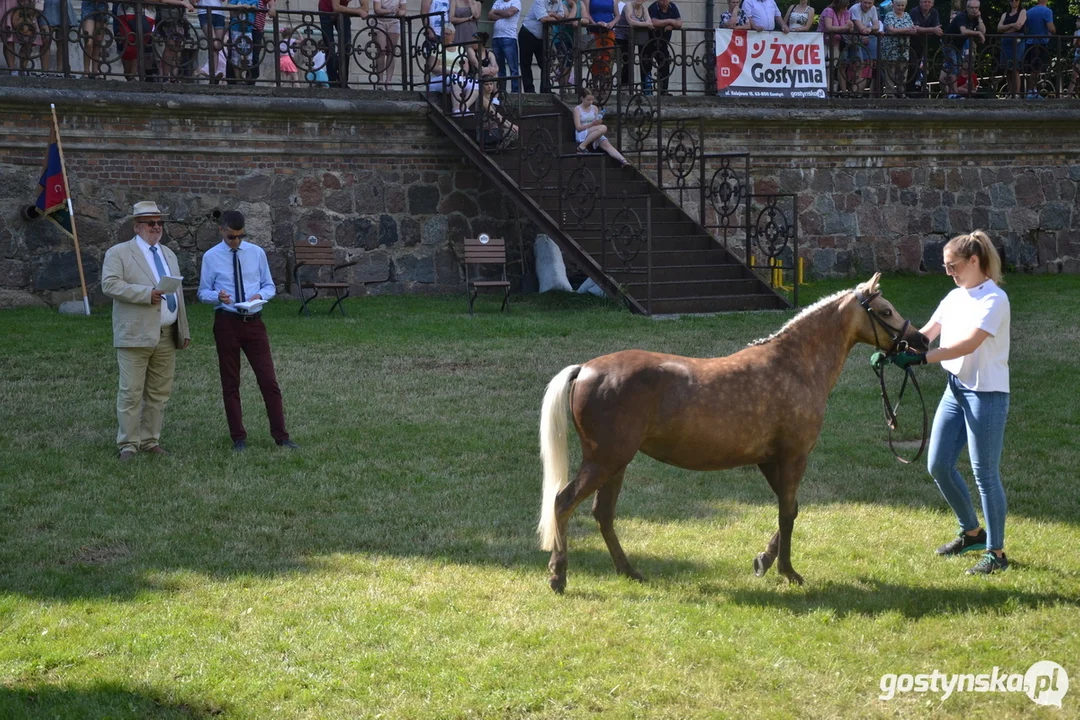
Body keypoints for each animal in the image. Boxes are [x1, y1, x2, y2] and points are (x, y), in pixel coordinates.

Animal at [535, 273, 924, 595]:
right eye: (885, 311)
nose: (918, 340)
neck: (795, 365)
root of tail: (585, 369)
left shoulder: (770, 459)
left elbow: (790, 509)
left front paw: (764, 561)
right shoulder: (794, 456)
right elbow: (787, 513)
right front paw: (788, 571)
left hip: (616, 463)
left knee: (603, 514)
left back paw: (629, 572)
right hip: (604, 460)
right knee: (563, 502)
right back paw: (558, 576)